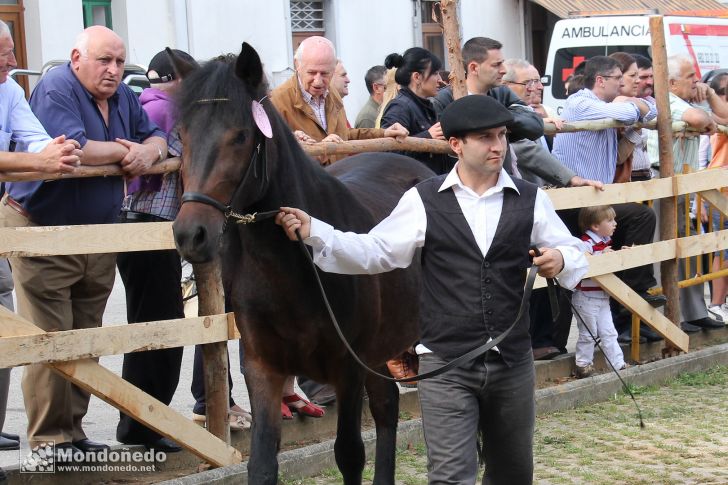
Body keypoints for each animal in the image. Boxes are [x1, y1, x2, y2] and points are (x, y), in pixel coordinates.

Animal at [171, 43, 432, 482]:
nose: (192, 233)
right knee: (387, 406)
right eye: (182, 135)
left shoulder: (348, 368)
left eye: (241, 135)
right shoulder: (263, 368)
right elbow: (261, 464)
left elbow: (349, 453)